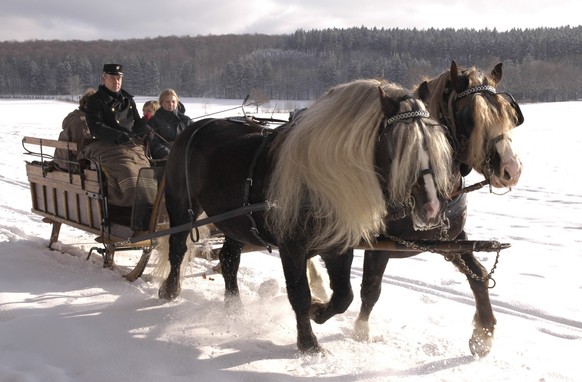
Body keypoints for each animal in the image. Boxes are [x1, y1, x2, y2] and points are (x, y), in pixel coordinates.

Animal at [159, 78, 456, 356]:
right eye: (399, 147)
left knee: (229, 259)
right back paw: (170, 289)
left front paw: (318, 311)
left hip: (237, 222)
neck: (318, 181)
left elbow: (344, 296)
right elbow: (299, 294)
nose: (432, 208)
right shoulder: (292, 247)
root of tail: (194, 128)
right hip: (181, 207)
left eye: (435, 143)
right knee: (177, 247)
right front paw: (309, 344)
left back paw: (234, 308)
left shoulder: (337, 246)